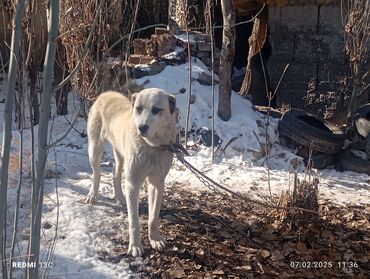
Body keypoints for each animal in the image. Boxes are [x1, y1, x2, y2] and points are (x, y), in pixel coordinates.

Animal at [82, 88, 178, 258]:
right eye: (138, 109)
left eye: (156, 110)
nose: (142, 128)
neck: (152, 147)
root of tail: (105, 94)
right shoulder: (133, 184)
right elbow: (134, 221)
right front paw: (135, 246)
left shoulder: (157, 183)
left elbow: (153, 217)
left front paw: (155, 239)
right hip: (94, 149)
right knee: (97, 174)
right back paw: (92, 195)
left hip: (120, 154)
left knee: (115, 173)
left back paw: (120, 197)